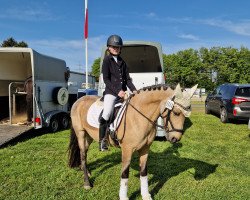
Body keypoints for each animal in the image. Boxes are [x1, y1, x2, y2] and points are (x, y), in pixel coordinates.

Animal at [68, 83, 197, 200]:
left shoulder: (145, 149)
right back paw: (87, 183)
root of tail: (79, 100)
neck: (138, 117)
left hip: (89, 136)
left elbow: (144, 172)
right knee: (83, 155)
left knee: (84, 153)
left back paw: (87, 171)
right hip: (81, 133)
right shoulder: (127, 150)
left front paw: (146, 195)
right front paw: (123, 197)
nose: (175, 138)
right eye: (176, 112)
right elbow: (125, 174)